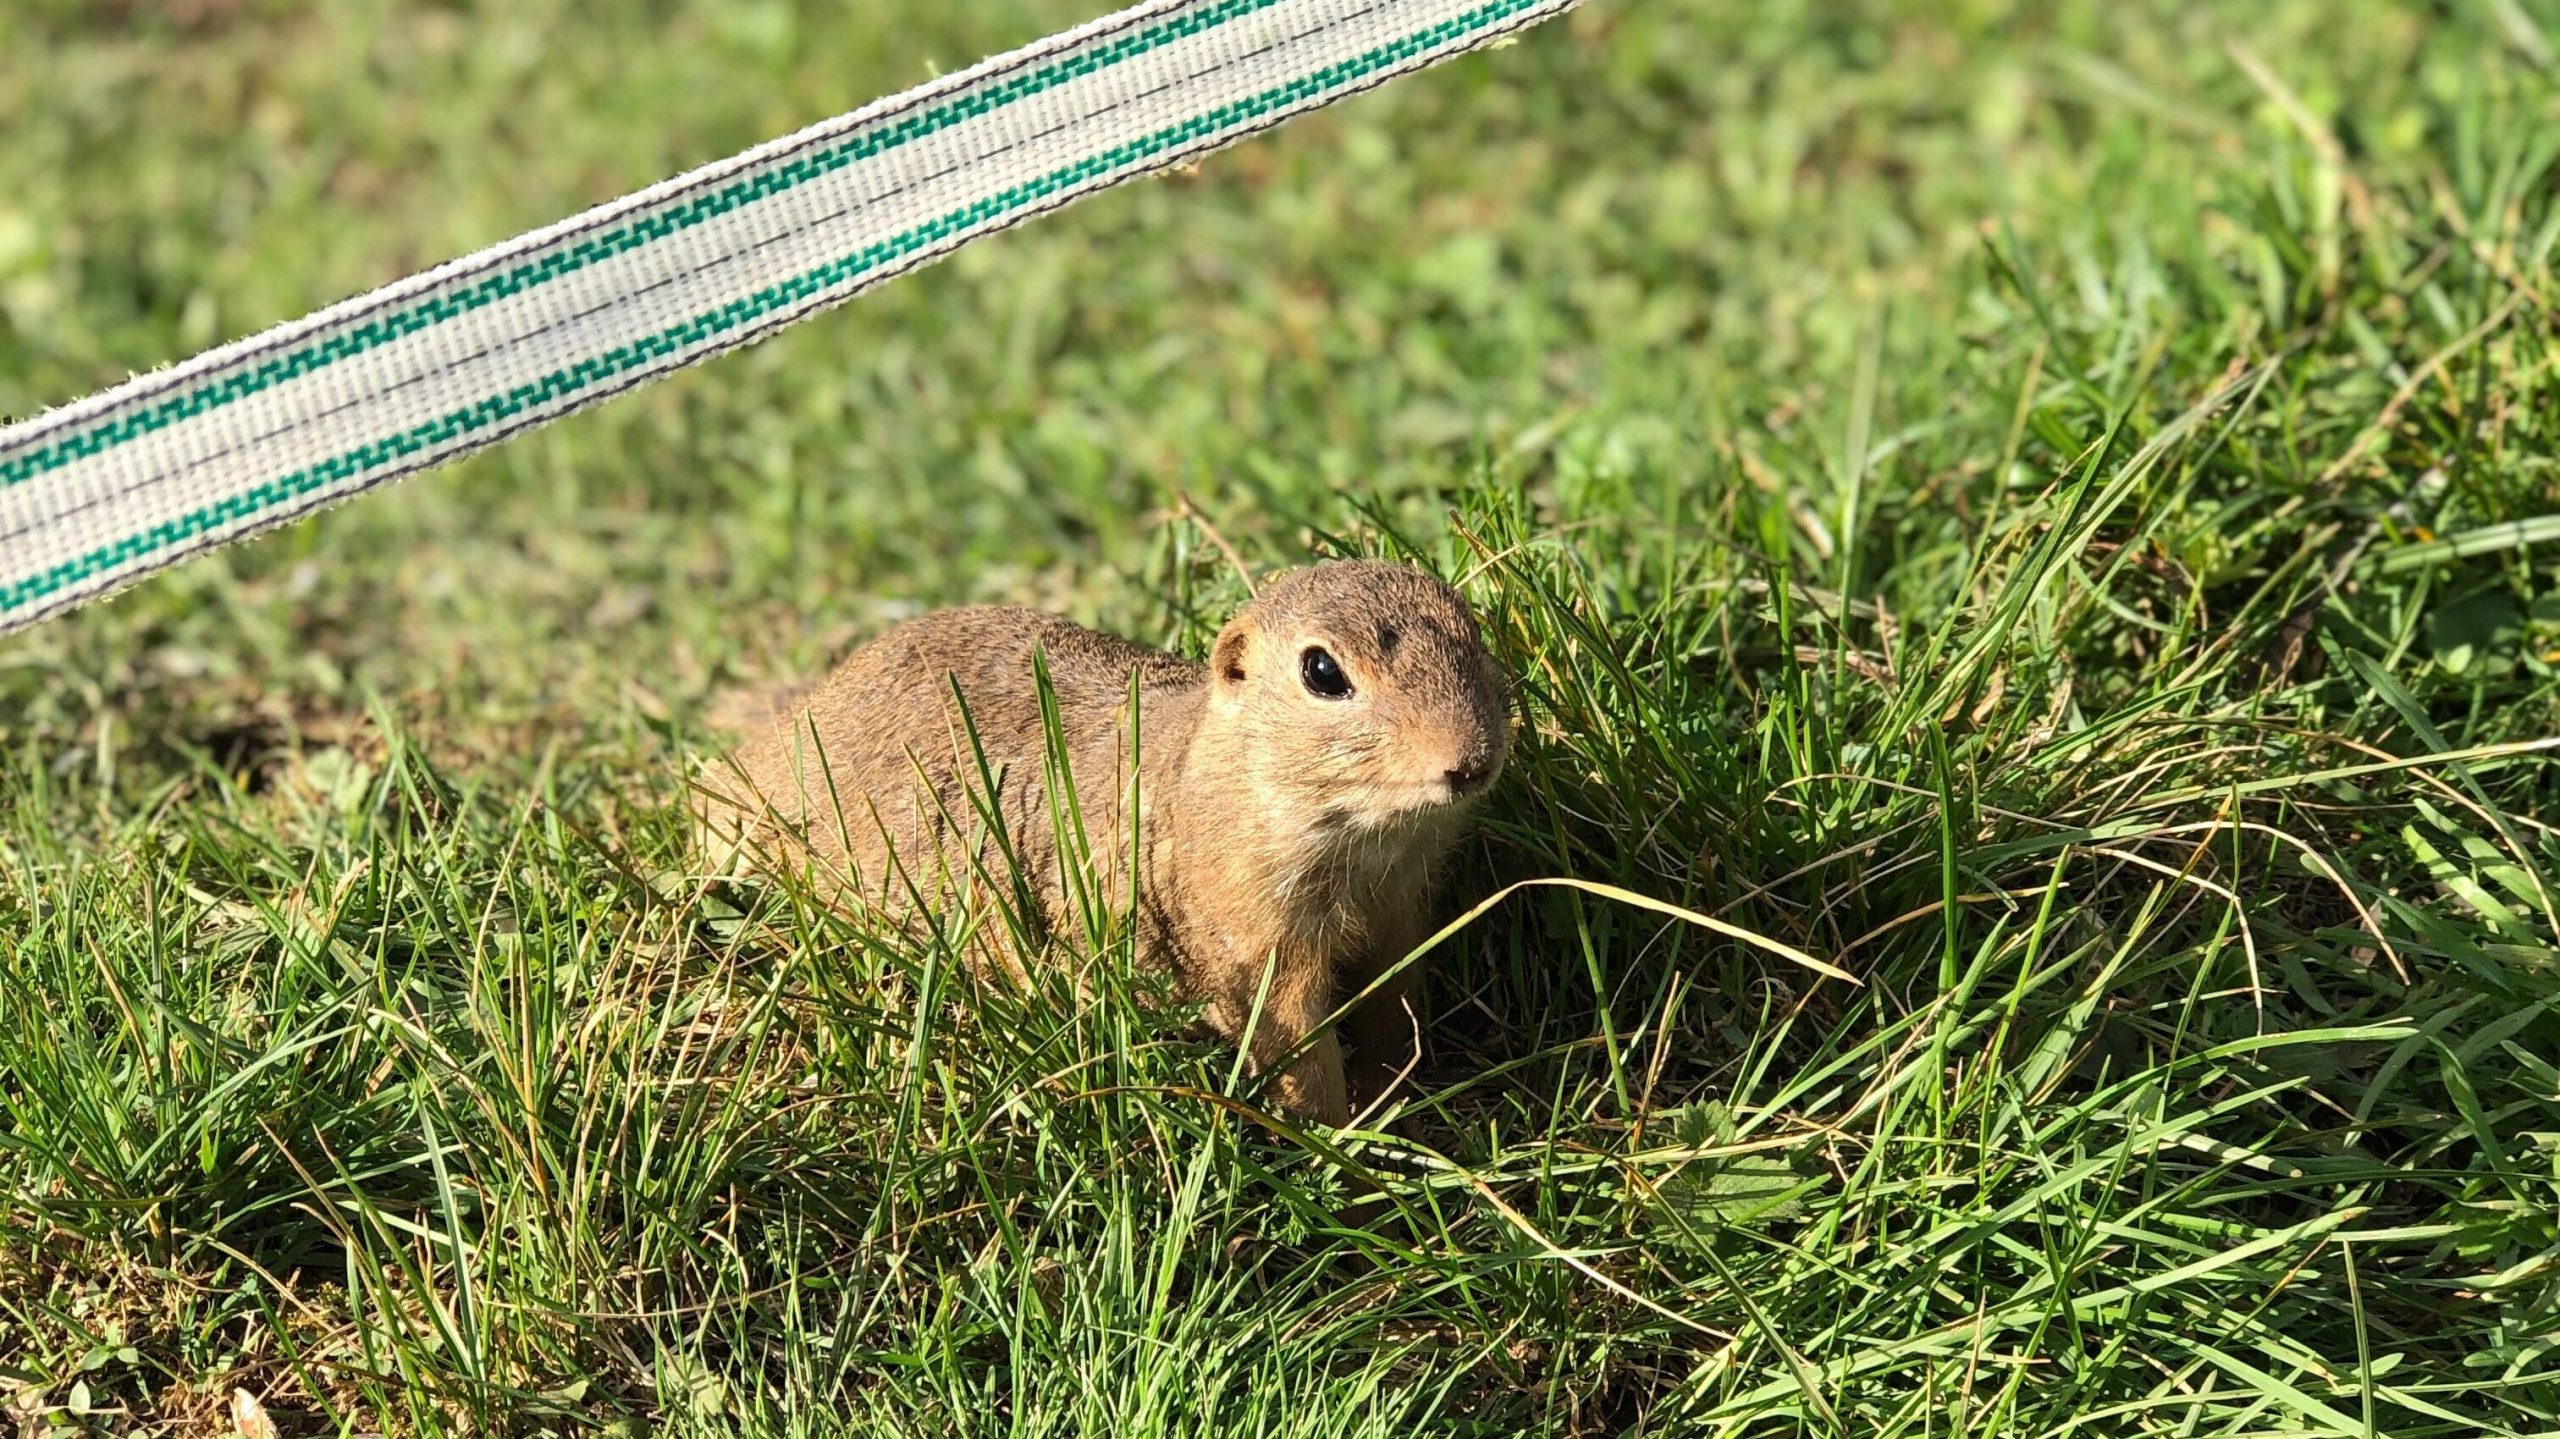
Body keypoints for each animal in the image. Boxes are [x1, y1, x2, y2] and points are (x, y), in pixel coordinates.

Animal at [691, 560, 1505, 1121]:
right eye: (1323, 670)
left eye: (1471, 628)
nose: (1473, 760)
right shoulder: (1256, 948)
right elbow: (1301, 1064)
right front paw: (1357, 1172)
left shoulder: (1401, 911)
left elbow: (1394, 1016)